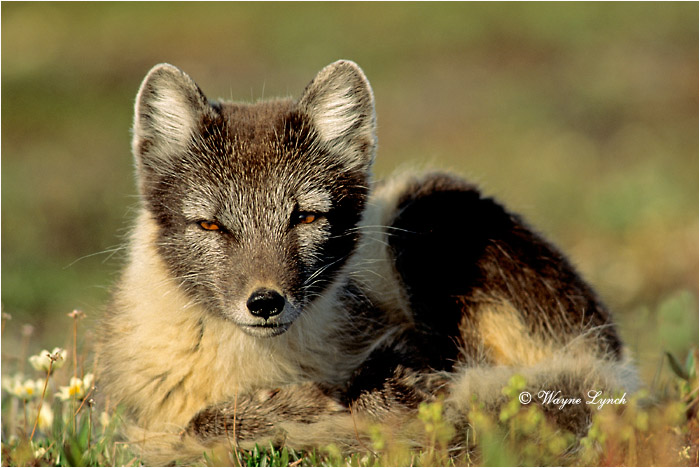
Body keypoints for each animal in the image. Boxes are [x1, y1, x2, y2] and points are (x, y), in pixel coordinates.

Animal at [97, 60, 639, 465]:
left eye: (306, 216)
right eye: (210, 226)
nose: (265, 302)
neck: (251, 366)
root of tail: (613, 360)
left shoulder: (409, 353)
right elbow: (197, 422)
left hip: (422, 206)